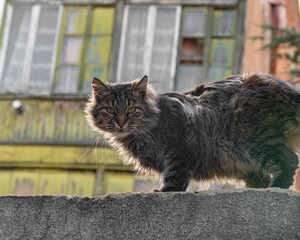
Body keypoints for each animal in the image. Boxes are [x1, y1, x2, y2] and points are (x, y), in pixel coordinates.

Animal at [84, 72, 300, 191]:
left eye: (131, 110)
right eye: (110, 110)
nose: (121, 123)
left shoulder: (179, 150)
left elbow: (175, 176)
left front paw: (165, 191)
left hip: (256, 142)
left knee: (290, 160)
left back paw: (277, 187)